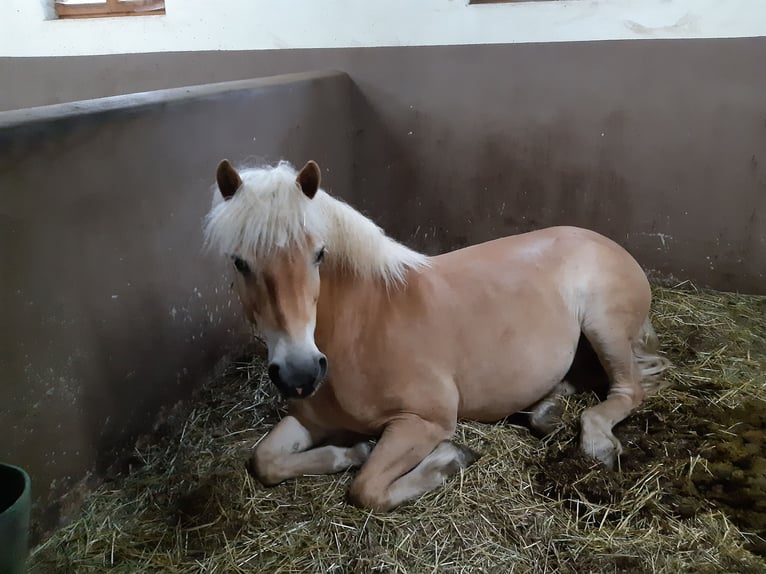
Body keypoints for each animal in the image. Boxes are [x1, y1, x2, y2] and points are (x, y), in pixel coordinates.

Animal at [204, 159, 672, 512]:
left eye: (319, 253)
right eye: (239, 262)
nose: (300, 374)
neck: (360, 328)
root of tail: (603, 240)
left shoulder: (424, 421)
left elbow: (367, 489)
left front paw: (448, 459)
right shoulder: (310, 419)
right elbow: (264, 460)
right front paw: (351, 452)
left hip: (604, 328)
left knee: (627, 389)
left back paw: (595, 443)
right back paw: (547, 412)